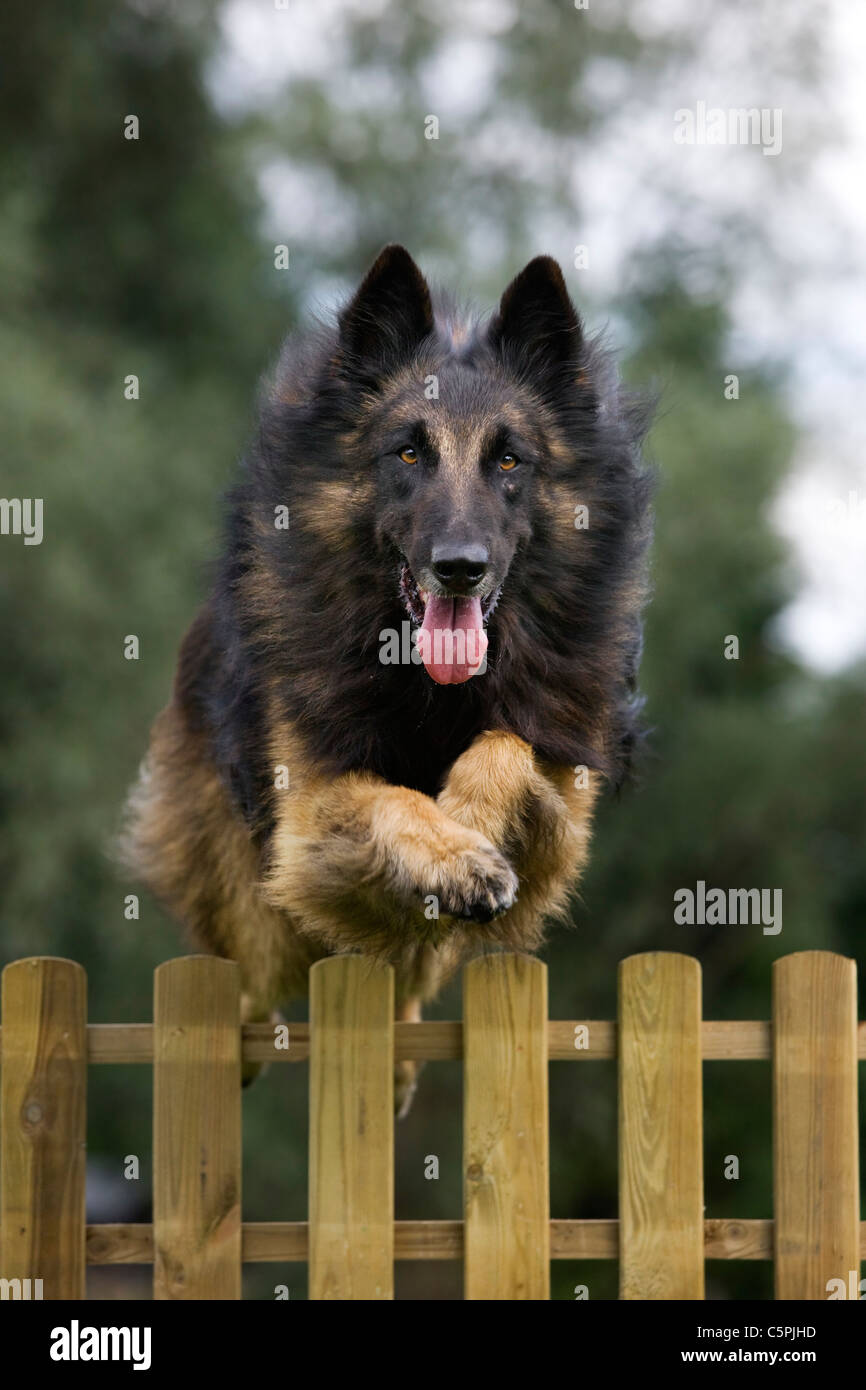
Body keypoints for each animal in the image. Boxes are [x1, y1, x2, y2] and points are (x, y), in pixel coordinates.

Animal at [120, 247, 650, 1117]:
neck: (426, 684)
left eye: (510, 459)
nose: (461, 568)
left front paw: (470, 821)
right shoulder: (305, 813)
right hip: (244, 880)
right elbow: (388, 800)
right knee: (252, 962)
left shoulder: (564, 804)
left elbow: (502, 747)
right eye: (407, 453)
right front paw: (457, 852)